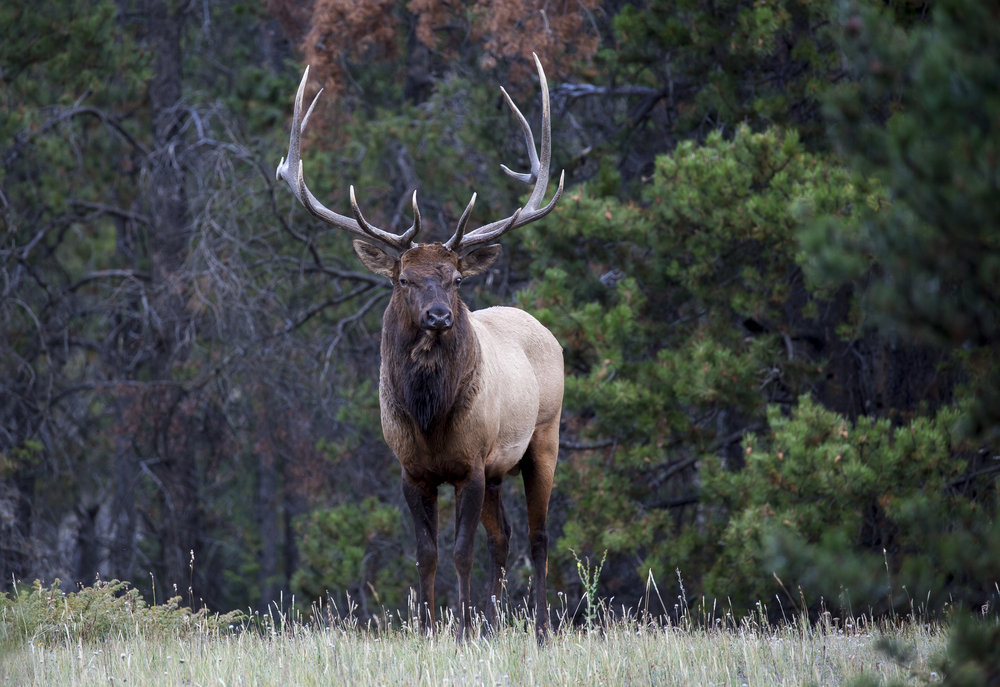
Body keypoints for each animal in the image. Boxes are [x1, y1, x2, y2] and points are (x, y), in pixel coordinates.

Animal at [278, 56, 568, 644]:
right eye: (404, 279)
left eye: (454, 278)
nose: (438, 316)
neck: (429, 414)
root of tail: (541, 328)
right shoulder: (412, 470)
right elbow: (426, 555)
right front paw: (434, 629)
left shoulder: (471, 463)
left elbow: (460, 553)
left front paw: (460, 630)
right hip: (501, 467)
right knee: (505, 537)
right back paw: (498, 623)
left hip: (543, 437)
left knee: (538, 536)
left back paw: (540, 630)